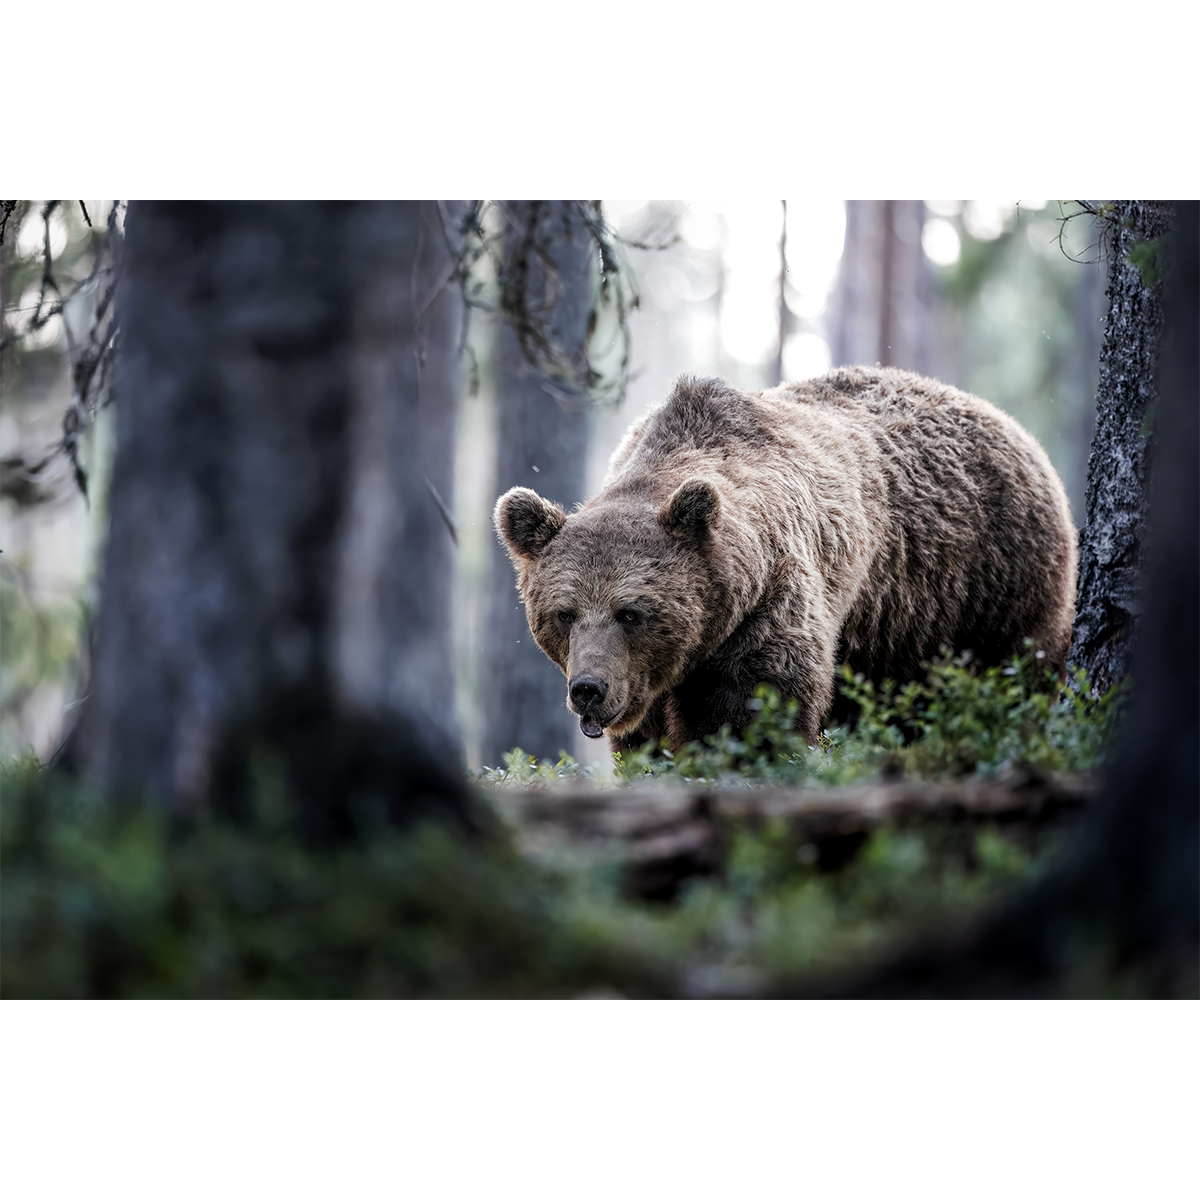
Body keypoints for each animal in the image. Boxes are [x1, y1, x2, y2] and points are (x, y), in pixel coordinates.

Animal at [493, 366, 1077, 753]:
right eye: (564, 614)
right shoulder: (649, 674)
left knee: (1018, 667)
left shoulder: (771, 598)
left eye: (630, 612)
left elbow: (754, 703)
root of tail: (1013, 426)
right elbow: (645, 738)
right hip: (897, 631)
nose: (588, 689)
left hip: (991, 581)